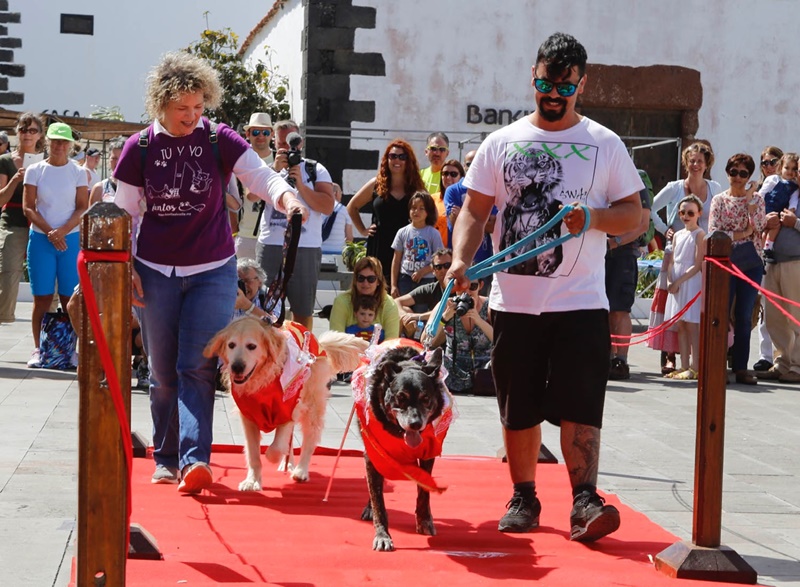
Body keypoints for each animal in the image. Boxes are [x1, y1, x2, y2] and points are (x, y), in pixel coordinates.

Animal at [204, 317, 368, 489]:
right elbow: (253, 453)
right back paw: (287, 464)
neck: (264, 382)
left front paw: (272, 458)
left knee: (309, 439)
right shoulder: (248, 417)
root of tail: (318, 343)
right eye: (231, 345)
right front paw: (252, 481)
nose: (237, 367)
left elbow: (275, 449)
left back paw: (301, 471)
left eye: (251, 346)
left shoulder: (288, 409)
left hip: (312, 405)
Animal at [353, 341, 454, 551]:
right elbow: (378, 500)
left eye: (425, 398)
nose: (415, 424)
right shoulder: (374, 454)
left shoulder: (428, 455)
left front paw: (424, 521)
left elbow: (424, 491)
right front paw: (382, 534)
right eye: (401, 398)